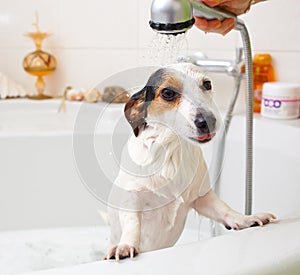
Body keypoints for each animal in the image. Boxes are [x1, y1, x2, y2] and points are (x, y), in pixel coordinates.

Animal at [103, 63, 274, 262]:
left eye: (207, 84)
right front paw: (125, 245)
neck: (173, 151)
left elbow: (225, 210)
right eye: (168, 92)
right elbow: (132, 225)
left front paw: (244, 219)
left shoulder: (203, 198)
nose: (208, 121)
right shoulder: (132, 199)